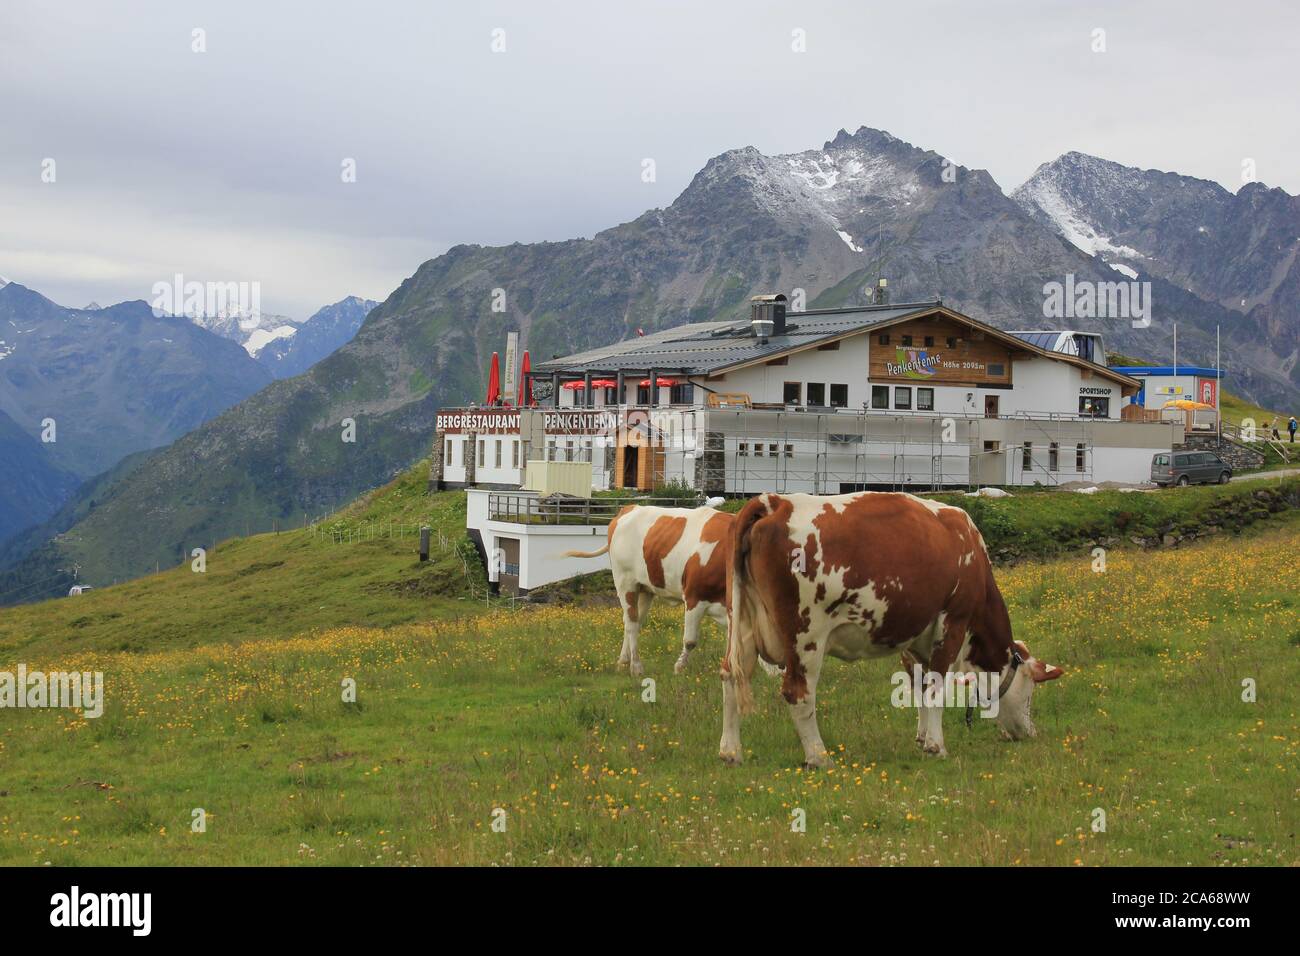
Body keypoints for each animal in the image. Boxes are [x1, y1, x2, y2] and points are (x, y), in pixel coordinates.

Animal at [717, 494, 1060, 770]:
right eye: (1030, 692)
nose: (1030, 733)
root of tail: (774, 502)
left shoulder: (916, 635)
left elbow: (921, 685)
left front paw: (922, 738)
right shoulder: (953, 621)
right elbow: (936, 687)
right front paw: (936, 746)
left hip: (742, 624)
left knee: (731, 677)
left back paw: (731, 752)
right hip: (806, 635)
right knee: (797, 692)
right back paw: (819, 756)